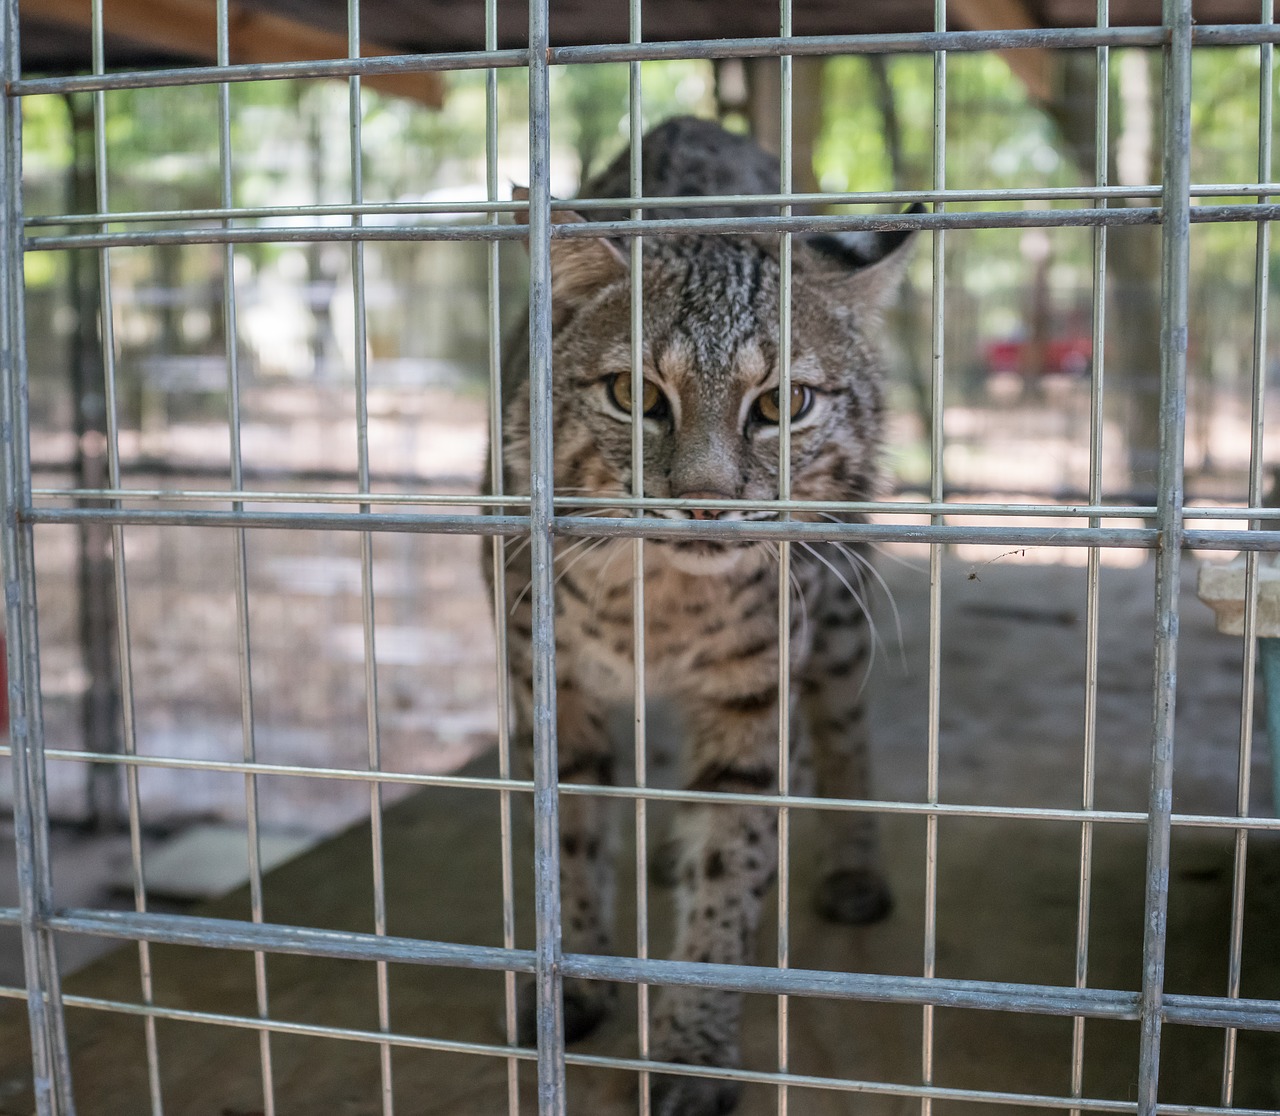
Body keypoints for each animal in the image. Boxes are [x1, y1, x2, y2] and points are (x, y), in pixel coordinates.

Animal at [483, 115, 916, 1116]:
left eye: (783, 404)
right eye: (636, 396)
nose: (707, 503)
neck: (659, 593)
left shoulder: (757, 686)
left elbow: (736, 849)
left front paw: (692, 1046)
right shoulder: (542, 674)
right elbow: (568, 836)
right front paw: (572, 979)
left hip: (839, 600)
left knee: (839, 727)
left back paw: (852, 865)